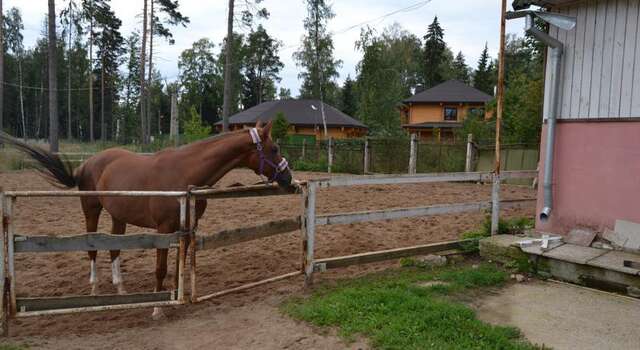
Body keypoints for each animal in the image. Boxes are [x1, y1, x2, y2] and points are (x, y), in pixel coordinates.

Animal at [1, 121, 292, 318]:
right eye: (274, 148)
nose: (288, 178)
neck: (186, 173)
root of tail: (88, 163)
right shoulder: (164, 230)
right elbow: (161, 269)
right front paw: (157, 308)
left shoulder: (186, 228)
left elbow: (179, 265)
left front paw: (177, 297)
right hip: (91, 211)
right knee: (92, 248)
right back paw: (95, 290)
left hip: (118, 216)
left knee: (114, 248)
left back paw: (121, 290)